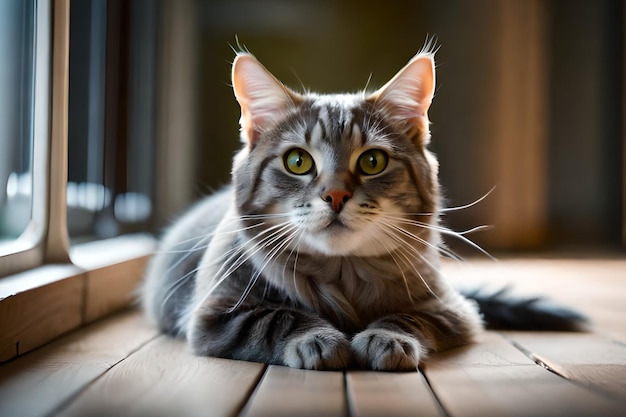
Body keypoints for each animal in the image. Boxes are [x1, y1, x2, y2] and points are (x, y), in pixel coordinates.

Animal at [140, 47, 580, 368]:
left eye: (372, 162)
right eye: (297, 161)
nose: (335, 196)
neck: (343, 273)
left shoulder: (452, 309)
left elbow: (408, 316)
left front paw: (385, 337)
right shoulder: (216, 314)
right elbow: (276, 316)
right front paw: (318, 338)